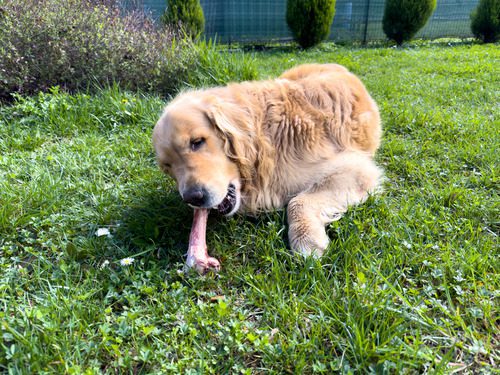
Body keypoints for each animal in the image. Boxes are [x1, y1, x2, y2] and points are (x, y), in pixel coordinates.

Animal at [152, 62, 382, 274]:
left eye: (197, 142)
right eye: (167, 166)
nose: (193, 198)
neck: (266, 138)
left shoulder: (355, 168)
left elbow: (297, 201)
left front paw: (307, 241)